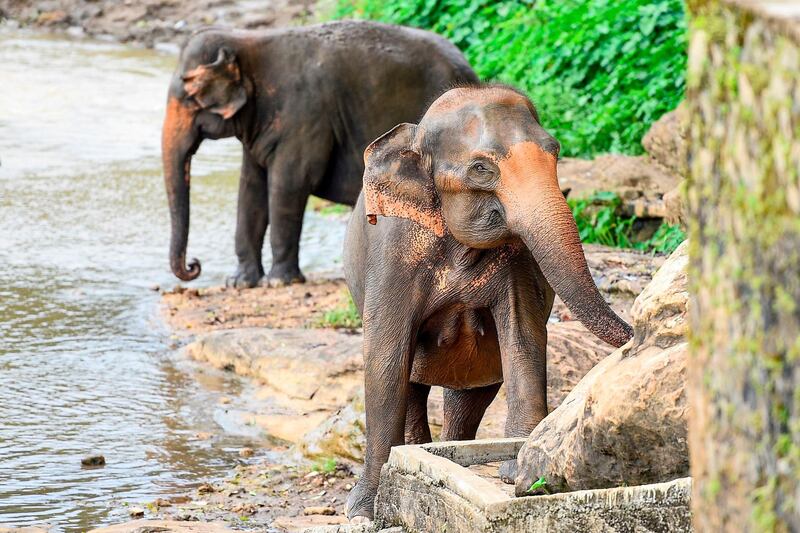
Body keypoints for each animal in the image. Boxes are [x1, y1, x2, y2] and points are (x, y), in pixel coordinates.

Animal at [161, 19, 476, 286]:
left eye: (190, 98)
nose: (193, 265)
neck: (245, 40)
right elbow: (250, 190)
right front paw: (240, 283)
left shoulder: (304, 117)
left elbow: (289, 185)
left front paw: (280, 282)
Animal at [340, 85, 636, 516]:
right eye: (481, 169)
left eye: (555, 151)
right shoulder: (393, 250)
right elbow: (386, 358)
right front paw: (365, 510)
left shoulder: (520, 260)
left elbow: (523, 339)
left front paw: (518, 472)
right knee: (413, 386)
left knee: (470, 396)